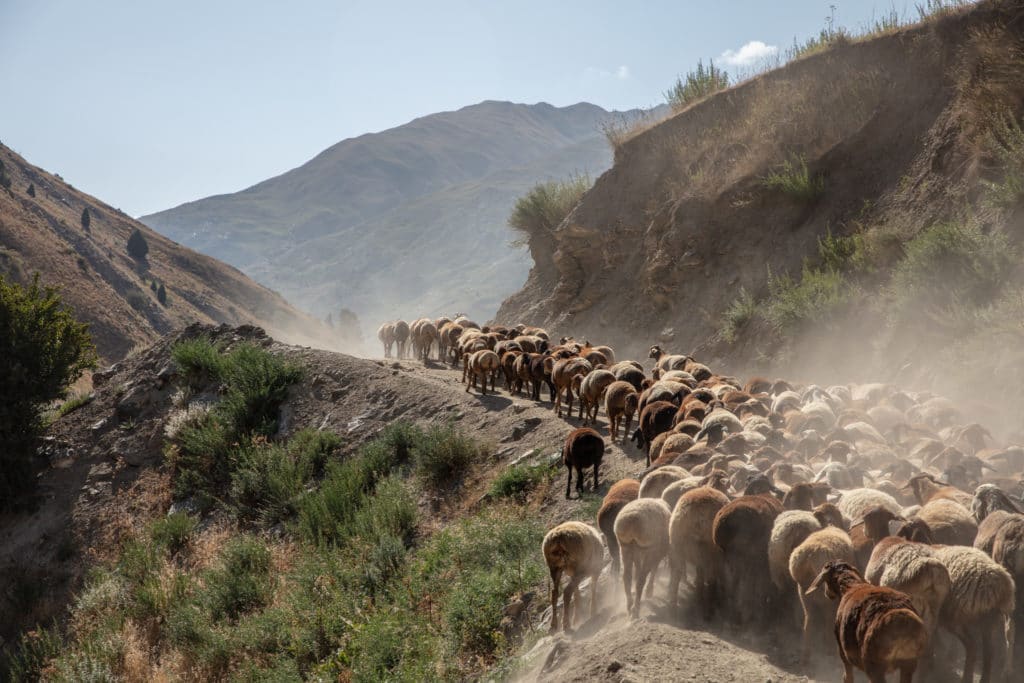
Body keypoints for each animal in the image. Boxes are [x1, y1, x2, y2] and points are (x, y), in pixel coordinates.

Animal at [790, 524, 856, 663]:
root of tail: (809, 556)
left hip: (804, 594)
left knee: (808, 621)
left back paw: (806, 655)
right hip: (824, 596)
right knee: (827, 618)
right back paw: (829, 648)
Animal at [937, 544, 1015, 683]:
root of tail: (1002, 582)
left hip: (958, 617)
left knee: (972, 645)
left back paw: (966, 677)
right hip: (988, 618)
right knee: (988, 651)